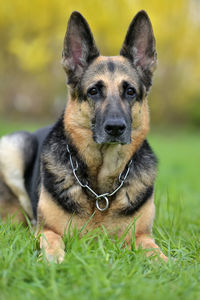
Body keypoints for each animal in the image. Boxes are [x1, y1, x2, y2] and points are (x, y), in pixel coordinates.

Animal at [0, 9, 167, 262]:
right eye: (94, 91)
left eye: (130, 91)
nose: (115, 127)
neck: (101, 191)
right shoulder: (46, 230)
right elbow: (53, 241)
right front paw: (55, 260)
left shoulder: (142, 236)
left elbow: (159, 255)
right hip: (12, 148)